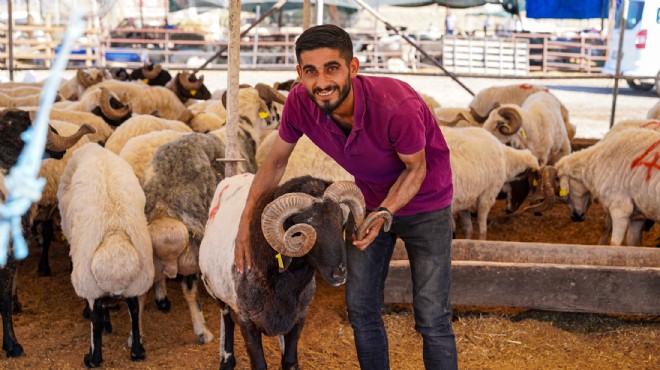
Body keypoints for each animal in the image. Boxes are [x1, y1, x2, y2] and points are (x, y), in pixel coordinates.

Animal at [57, 142, 155, 368]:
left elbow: (98, 313)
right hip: (140, 278)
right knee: (134, 307)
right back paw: (137, 351)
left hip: (87, 277)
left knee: (96, 315)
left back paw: (93, 358)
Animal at [199, 174, 368, 370]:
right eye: (302, 227)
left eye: (341, 222)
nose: (339, 274)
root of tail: (236, 176)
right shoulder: (247, 322)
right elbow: (259, 364)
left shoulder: (299, 317)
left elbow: (290, 361)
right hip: (217, 292)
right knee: (226, 319)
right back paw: (226, 360)